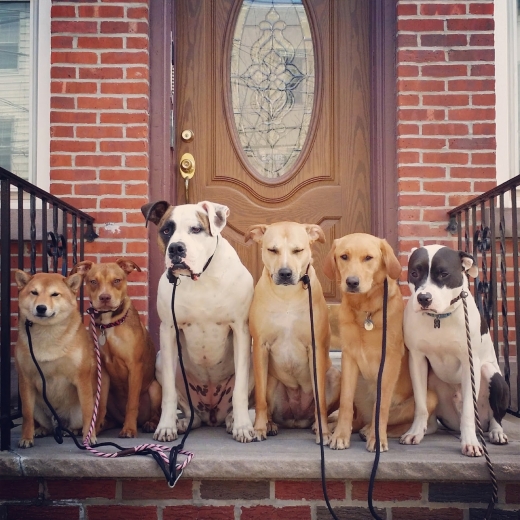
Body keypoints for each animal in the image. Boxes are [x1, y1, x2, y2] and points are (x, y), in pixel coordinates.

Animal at [13, 272, 100, 446]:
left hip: (77, 412)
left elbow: (88, 413)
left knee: (75, 424)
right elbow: (26, 415)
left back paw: (72, 431)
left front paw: (90, 436)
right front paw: (26, 438)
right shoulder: (25, 378)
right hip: (38, 408)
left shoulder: (82, 378)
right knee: (44, 425)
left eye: (55, 294)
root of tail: (59, 423)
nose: (41, 307)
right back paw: (40, 430)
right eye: (34, 292)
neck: (47, 333)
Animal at [71, 258, 160, 436]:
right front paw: (93, 430)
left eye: (117, 280)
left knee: (155, 413)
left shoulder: (135, 367)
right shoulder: (103, 372)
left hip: (155, 388)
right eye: (93, 281)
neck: (109, 324)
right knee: (109, 416)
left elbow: (132, 403)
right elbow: (100, 406)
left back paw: (150, 424)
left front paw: (129, 429)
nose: (105, 297)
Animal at [247, 221, 342, 444]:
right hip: (272, 381)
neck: (286, 296)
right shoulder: (260, 347)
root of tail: (297, 420)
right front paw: (259, 428)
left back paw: (316, 426)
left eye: (298, 250)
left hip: (334, 376)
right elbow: (260, 401)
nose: (284, 273)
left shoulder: (316, 348)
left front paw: (325, 433)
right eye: (272, 250)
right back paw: (270, 424)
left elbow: (320, 401)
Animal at [322, 235, 436, 450]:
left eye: (368, 257)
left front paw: (377, 439)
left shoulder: (389, 359)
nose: (352, 282)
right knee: (357, 417)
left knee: (393, 420)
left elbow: (381, 405)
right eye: (344, 256)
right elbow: (346, 403)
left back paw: (371, 431)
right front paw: (340, 435)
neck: (365, 310)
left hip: (429, 398)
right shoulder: (349, 356)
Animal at [402, 246, 508, 458]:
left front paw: (471, 443)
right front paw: (415, 432)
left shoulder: (470, 363)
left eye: (444, 274)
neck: (439, 318)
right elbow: (420, 404)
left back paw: (496, 432)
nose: (424, 298)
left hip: (492, 374)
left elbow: (468, 410)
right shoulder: (417, 359)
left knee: (495, 416)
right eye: (415, 273)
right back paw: (428, 428)